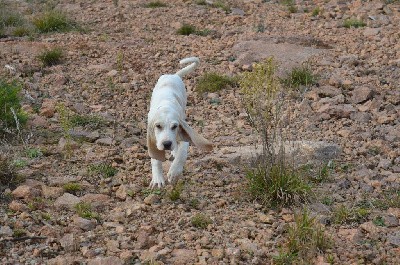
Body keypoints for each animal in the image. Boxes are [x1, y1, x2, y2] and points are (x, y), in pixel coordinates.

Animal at [148, 56, 212, 187]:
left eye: (174, 126)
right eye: (158, 126)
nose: (167, 144)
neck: (166, 106)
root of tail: (174, 75)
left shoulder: (183, 132)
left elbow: (181, 154)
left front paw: (174, 173)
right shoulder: (152, 137)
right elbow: (155, 159)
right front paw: (157, 179)